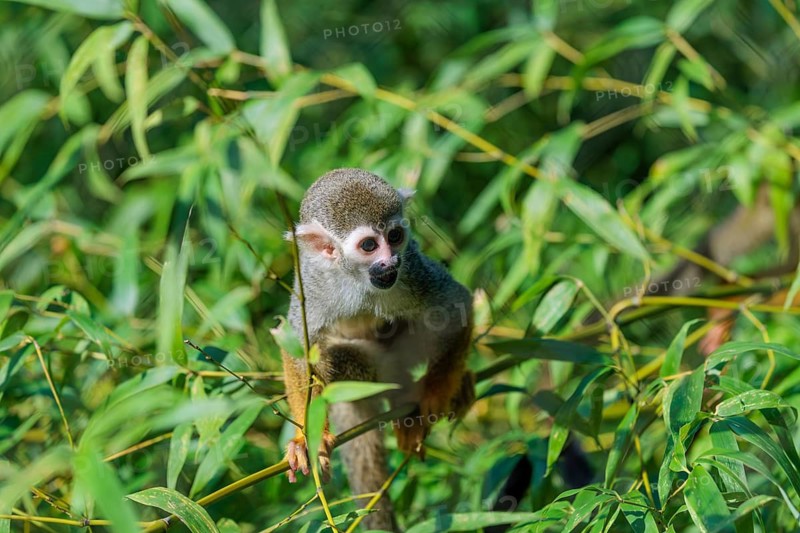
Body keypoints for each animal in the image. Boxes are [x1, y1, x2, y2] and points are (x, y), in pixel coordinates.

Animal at [281, 168, 475, 531]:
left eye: (395, 236)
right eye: (369, 245)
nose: (390, 260)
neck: (355, 279)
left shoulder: (412, 270)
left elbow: (455, 305)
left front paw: (437, 392)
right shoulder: (311, 287)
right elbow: (301, 349)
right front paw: (306, 438)